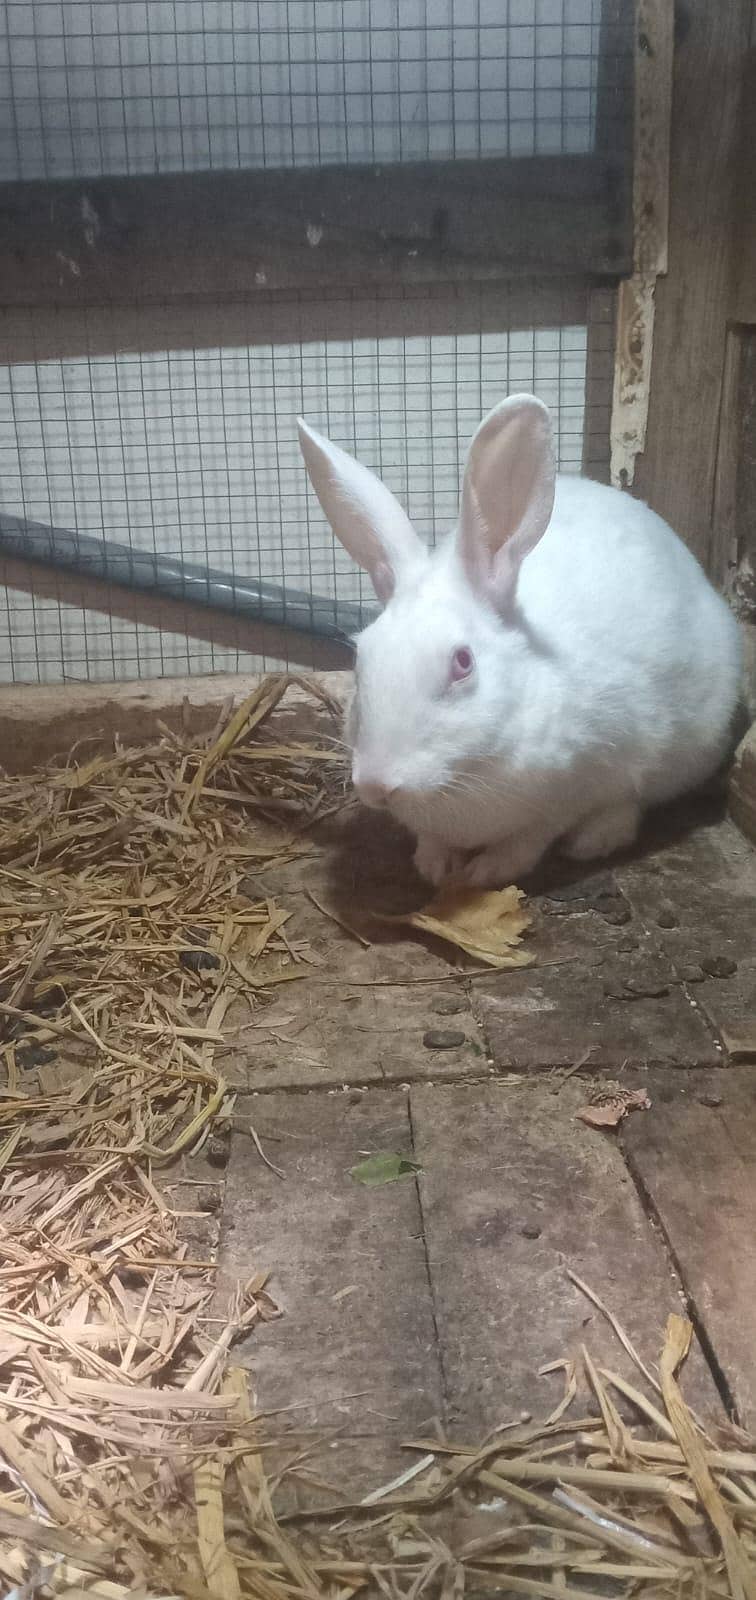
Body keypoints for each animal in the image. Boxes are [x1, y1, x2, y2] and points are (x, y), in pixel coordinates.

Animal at [297, 395, 742, 888]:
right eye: (361, 659)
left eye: (463, 662)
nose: (376, 785)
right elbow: (433, 840)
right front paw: (434, 865)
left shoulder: (574, 789)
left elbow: (532, 838)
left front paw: (487, 871)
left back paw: (594, 840)